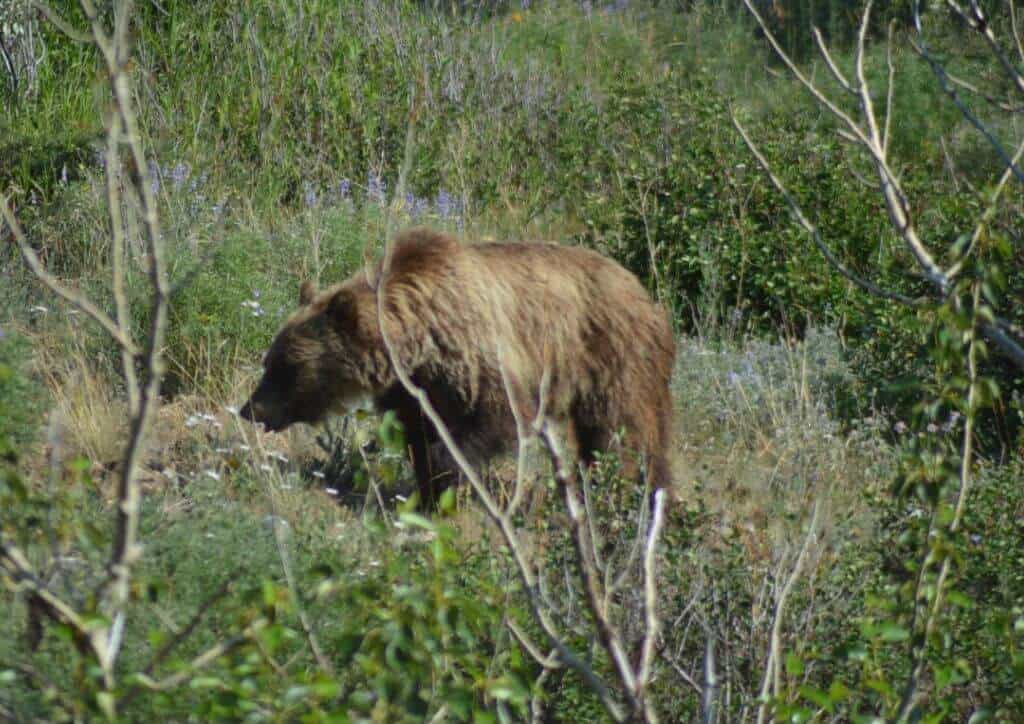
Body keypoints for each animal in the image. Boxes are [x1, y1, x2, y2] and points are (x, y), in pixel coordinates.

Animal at [239, 228, 676, 509]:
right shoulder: (414, 388)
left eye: (287, 367)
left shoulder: (483, 360)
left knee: (624, 430)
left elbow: (490, 422)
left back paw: (630, 491)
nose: (250, 409)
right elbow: (417, 433)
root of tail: (647, 295)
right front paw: (426, 491)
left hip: (611, 357)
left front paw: (446, 481)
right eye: (270, 361)